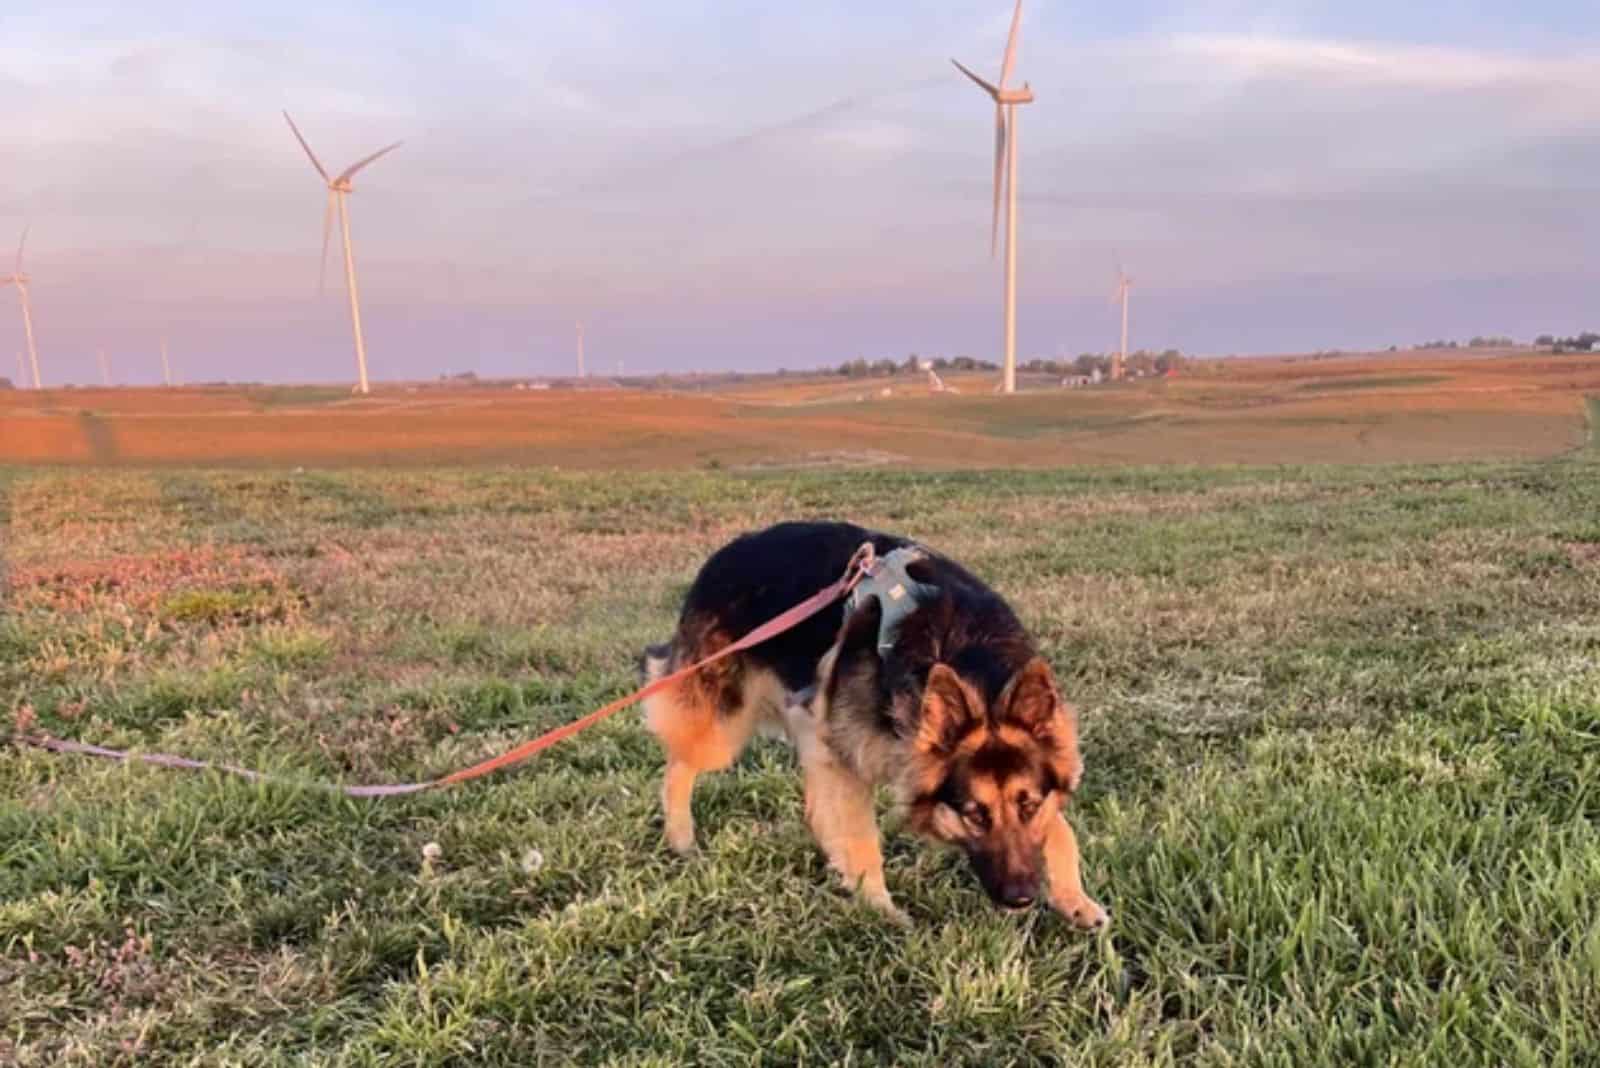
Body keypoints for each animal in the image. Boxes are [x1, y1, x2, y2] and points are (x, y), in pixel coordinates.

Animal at [643, 518, 1107, 927]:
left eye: (1029, 806)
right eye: (973, 814)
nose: (1022, 898)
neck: (964, 651)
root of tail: (725, 552)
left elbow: (1062, 829)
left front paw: (1076, 900)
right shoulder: (839, 749)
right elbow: (861, 839)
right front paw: (881, 912)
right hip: (723, 727)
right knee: (678, 767)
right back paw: (681, 839)